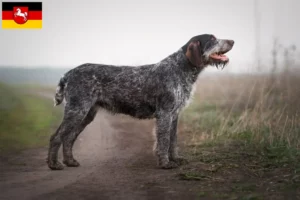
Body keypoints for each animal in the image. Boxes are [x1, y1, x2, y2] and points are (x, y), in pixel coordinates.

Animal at [47, 34, 234, 170]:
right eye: (212, 38)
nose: (233, 41)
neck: (181, 68)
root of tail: (68, 73)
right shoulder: (165, 114)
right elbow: (164, 141)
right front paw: (165, 163)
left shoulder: (174, 115)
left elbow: (173, 140)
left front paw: (175, 159)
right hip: (77, 110)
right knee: (56, 137)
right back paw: (54, 164)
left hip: (86, 114)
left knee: (69, 137)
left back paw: (70, 161)